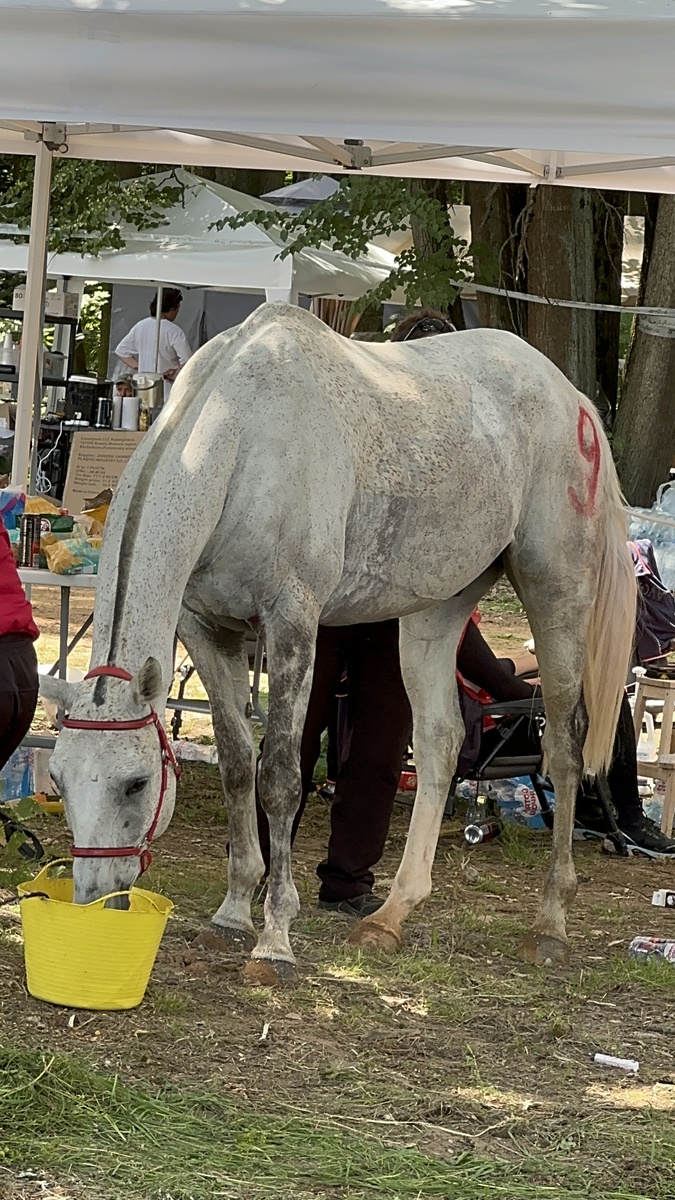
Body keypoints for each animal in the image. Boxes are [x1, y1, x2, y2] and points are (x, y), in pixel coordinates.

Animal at [40, 302, 629, 984]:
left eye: (136, 784)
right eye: (58, 779)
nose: (93, 900)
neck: (245, 441)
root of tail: (572, 397)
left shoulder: (292, 621)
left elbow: (279, 776)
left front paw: (274, 939)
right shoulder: (207, 631)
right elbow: (237, 765)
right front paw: (233, 913)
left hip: (558, 595)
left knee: (564, 745)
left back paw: (551, 922)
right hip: (437, 609)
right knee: (440, 742)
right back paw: (391, 916)